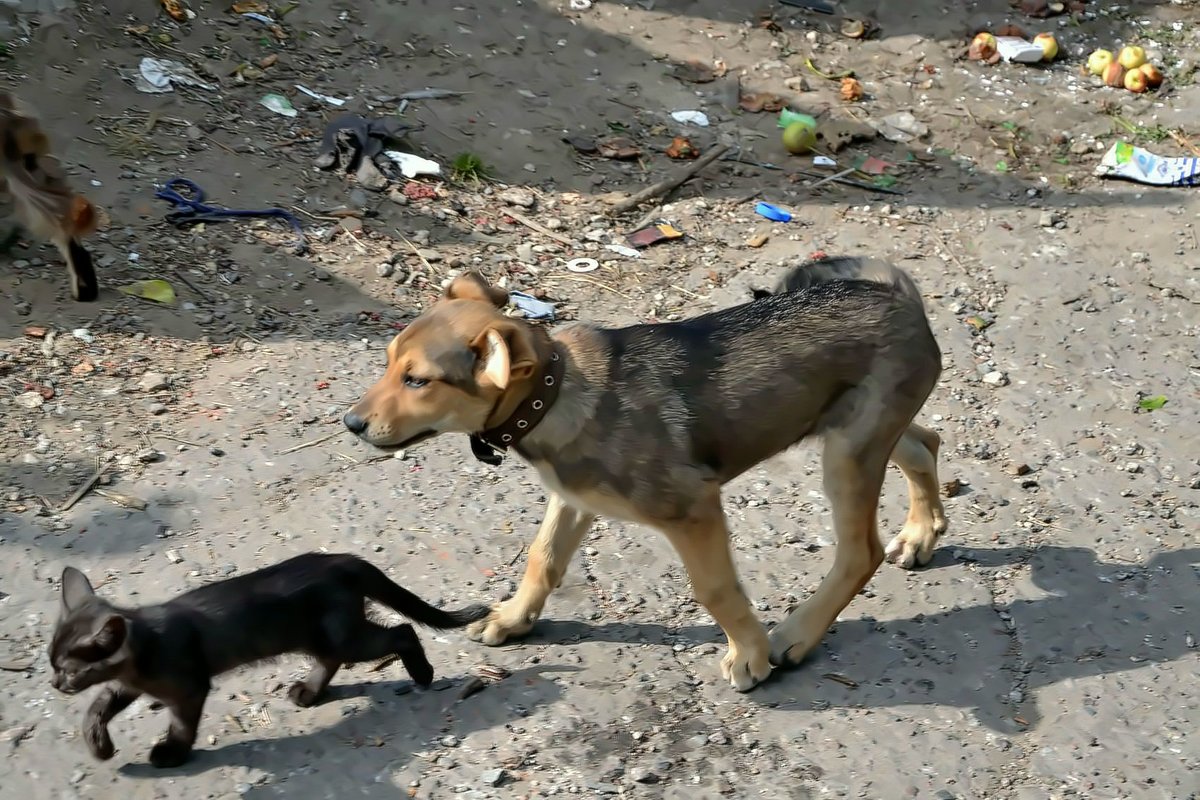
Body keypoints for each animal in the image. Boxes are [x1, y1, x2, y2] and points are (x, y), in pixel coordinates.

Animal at [46, 551, 487, 767]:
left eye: (69, 669)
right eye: (51, 664)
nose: (54, 683)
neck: (142, 649)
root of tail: (343, 560)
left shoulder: (188, 687)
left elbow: (181, 724)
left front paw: (172, 753)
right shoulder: (129, 682)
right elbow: (99, 705)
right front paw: (99, 745)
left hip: (346, 636)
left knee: (402, 631)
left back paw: (423, 673)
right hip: (318, 635)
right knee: (331, 659)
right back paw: (308, 692)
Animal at [345, 260, 945, 690]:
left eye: (418, 381)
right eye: (389, 362)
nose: (350, 423)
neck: (554, 394)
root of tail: (901, 297)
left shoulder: (693, 508)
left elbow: (715, 589)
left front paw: (749, 656)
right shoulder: (573, 498)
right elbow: (543, 559)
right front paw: (515, 617)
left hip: (848, 452)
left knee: (860, 552)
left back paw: (795, 636)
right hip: (859, 432)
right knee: (925, 443)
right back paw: (921, 534)